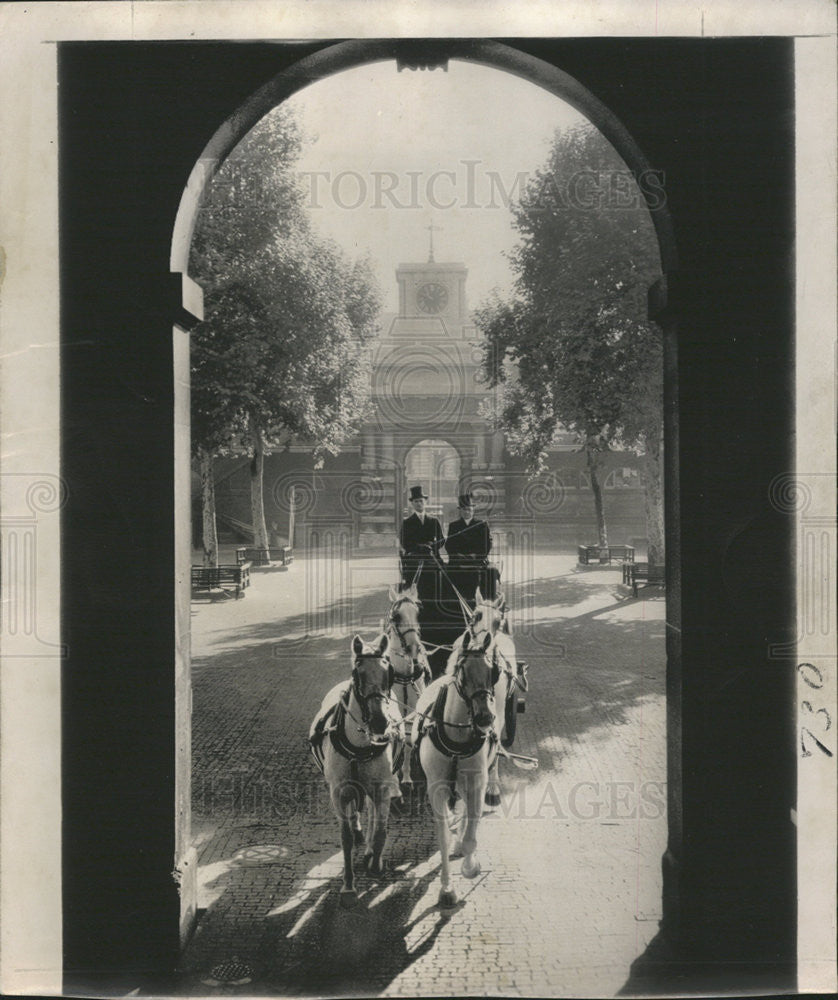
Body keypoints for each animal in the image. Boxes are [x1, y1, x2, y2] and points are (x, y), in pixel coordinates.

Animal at [310, 636, 406, 912]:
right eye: (357, 673)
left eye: (388, 673)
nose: (379, 723)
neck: (360, 747)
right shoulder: (338, 792)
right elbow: (345, 838)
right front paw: (348, 886)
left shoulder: (382, 787)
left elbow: (382, 829)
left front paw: (375, 861)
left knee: (373, 812)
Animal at [416, 628, 498, 912]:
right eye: (463, 673)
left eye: (494, 672)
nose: (485, 717)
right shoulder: (436, 788)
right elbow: (442, 836)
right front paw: (446, 889)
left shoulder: (478, 782)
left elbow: (473, 830)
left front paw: (470, 866)